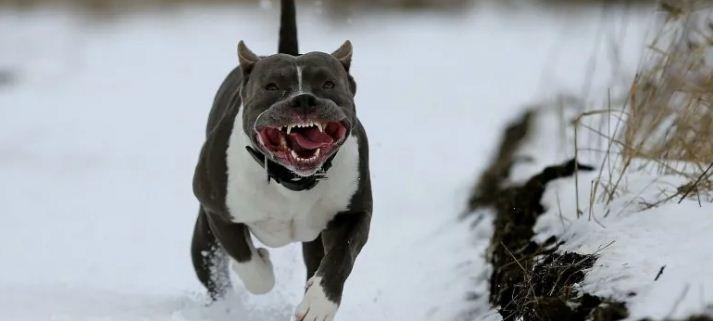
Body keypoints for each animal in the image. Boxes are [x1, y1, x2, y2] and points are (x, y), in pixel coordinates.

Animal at [189, 1, 372, 318]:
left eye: (328, 84)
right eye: (272, 86)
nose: (304, 99)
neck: (292, 179)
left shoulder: (354, 213)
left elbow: (340, 259)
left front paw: (318, 304)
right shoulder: (218, 212)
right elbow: (250, 264)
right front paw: (262, 264)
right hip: (203, 237)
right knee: (215, 274)